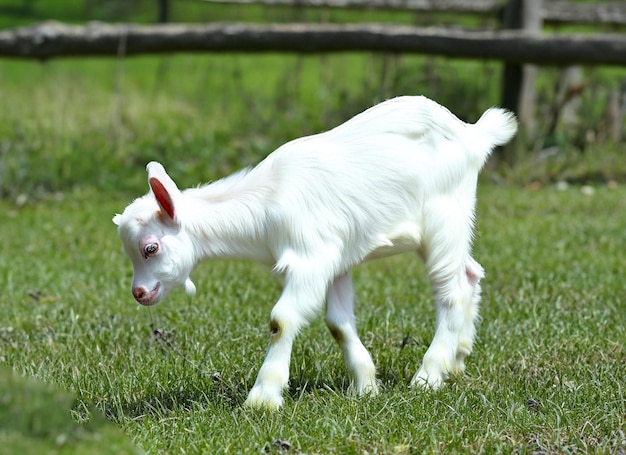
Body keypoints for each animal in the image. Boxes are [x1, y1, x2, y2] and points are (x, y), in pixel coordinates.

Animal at [113, 95, 516, 410]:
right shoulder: (334, 261)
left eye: (150, 248)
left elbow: (281, 319)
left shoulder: (311, 257)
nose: (139, 293)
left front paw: (264, 397)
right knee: (470, 273)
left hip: (443, 218)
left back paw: (429, 376)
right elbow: (338, 323)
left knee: (452, 290)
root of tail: (473, 135)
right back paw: (457, 360)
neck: (267, 200)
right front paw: (365, 386)